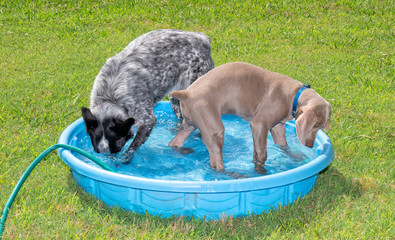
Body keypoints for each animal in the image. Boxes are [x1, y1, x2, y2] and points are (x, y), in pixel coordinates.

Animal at [81, 30, 215, 161]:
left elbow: (131, 148)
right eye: (98, 152)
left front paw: (124, 160)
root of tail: (203, 39)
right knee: (181, 119)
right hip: (175, 98)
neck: (111, 98)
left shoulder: (147, 121)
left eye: (117, 149)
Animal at [169, 62, 332, 173]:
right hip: (214, 130)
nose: (310, 145)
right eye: (314, 126)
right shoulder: (259, 124)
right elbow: (262, 154)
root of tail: (186, 93)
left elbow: (283, 146)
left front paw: (295, 157)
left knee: (175, 142)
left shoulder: (277, 126)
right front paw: (261, 171)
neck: (293, 95)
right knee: (216, 164)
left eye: (320, 127)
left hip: (190, 124)